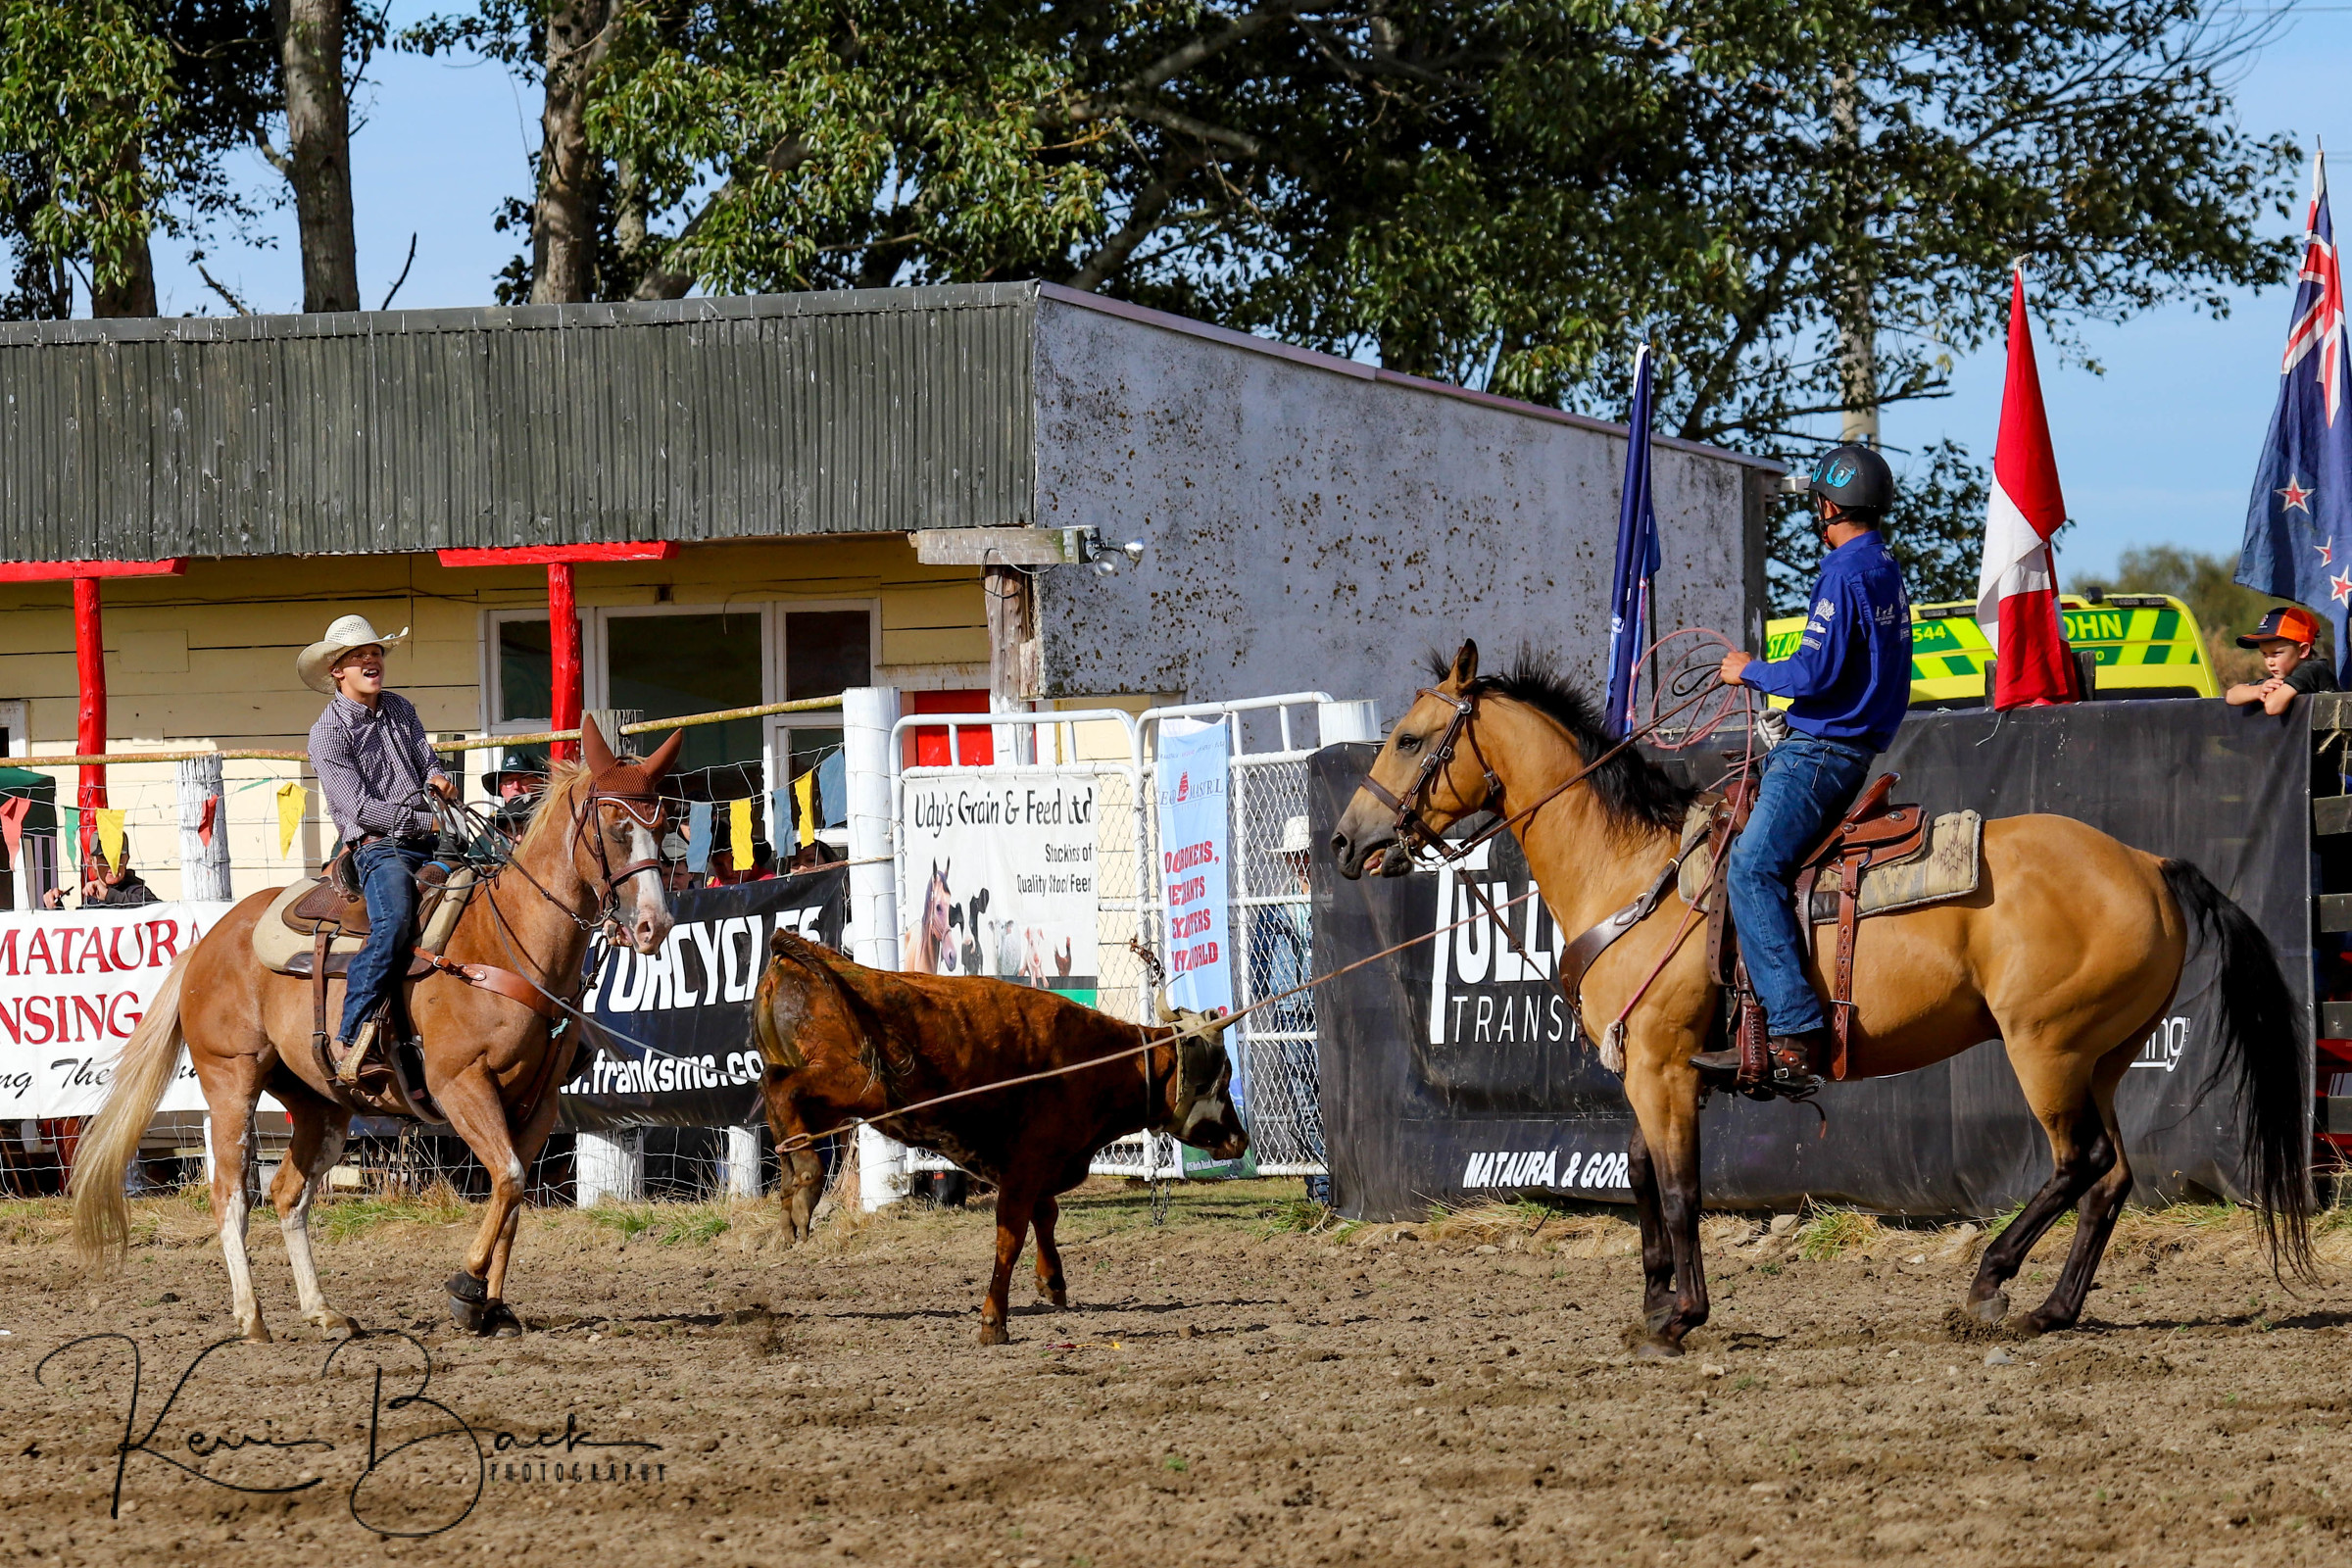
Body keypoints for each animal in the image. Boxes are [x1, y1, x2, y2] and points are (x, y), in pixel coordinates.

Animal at [69, 716, 684, 1341]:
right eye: (616, 827)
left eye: (664, 825)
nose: (654, 926)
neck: (505, 940)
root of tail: (207, 942)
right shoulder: (460, 1084)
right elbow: (509, 1178)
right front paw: (465, 1288)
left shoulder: (536, 1103)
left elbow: (512, 1196)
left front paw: (493, 1306)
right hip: (230, 1079)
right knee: (231, 1196)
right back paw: (250, 1316)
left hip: (320, 1102)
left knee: (288, 1194)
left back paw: (322, 1310)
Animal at [751, 930, 1250, 1343]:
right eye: (1221, 1080)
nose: (1240, 1141)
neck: (1097, 1061)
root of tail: (803, 954)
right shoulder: (1025, 1169)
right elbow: (1010, 1239)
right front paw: (994, 1320)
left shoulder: (1032, 1167)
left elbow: (1046, 1216)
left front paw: (1052, 1281)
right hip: (859, 1084)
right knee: (783, 1086)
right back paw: (807, 1181)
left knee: (774, 1092)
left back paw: (790, 1199)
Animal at [1330, 642, 2311, 1358]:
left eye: (1411, 738)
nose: (1343, 842)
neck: (1638, 874)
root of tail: (2148, 862)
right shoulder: (1653, 1071)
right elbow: (1643, 1175)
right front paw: (1651, 1306)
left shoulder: (1662, 1068)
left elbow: (1681, 1190)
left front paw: (1681, 1317)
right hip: (2102, 1056)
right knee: (2110, 1179)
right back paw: (2050, 1312)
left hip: (2047, 1048)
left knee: (2078, 1164)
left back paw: (1988, 1287)